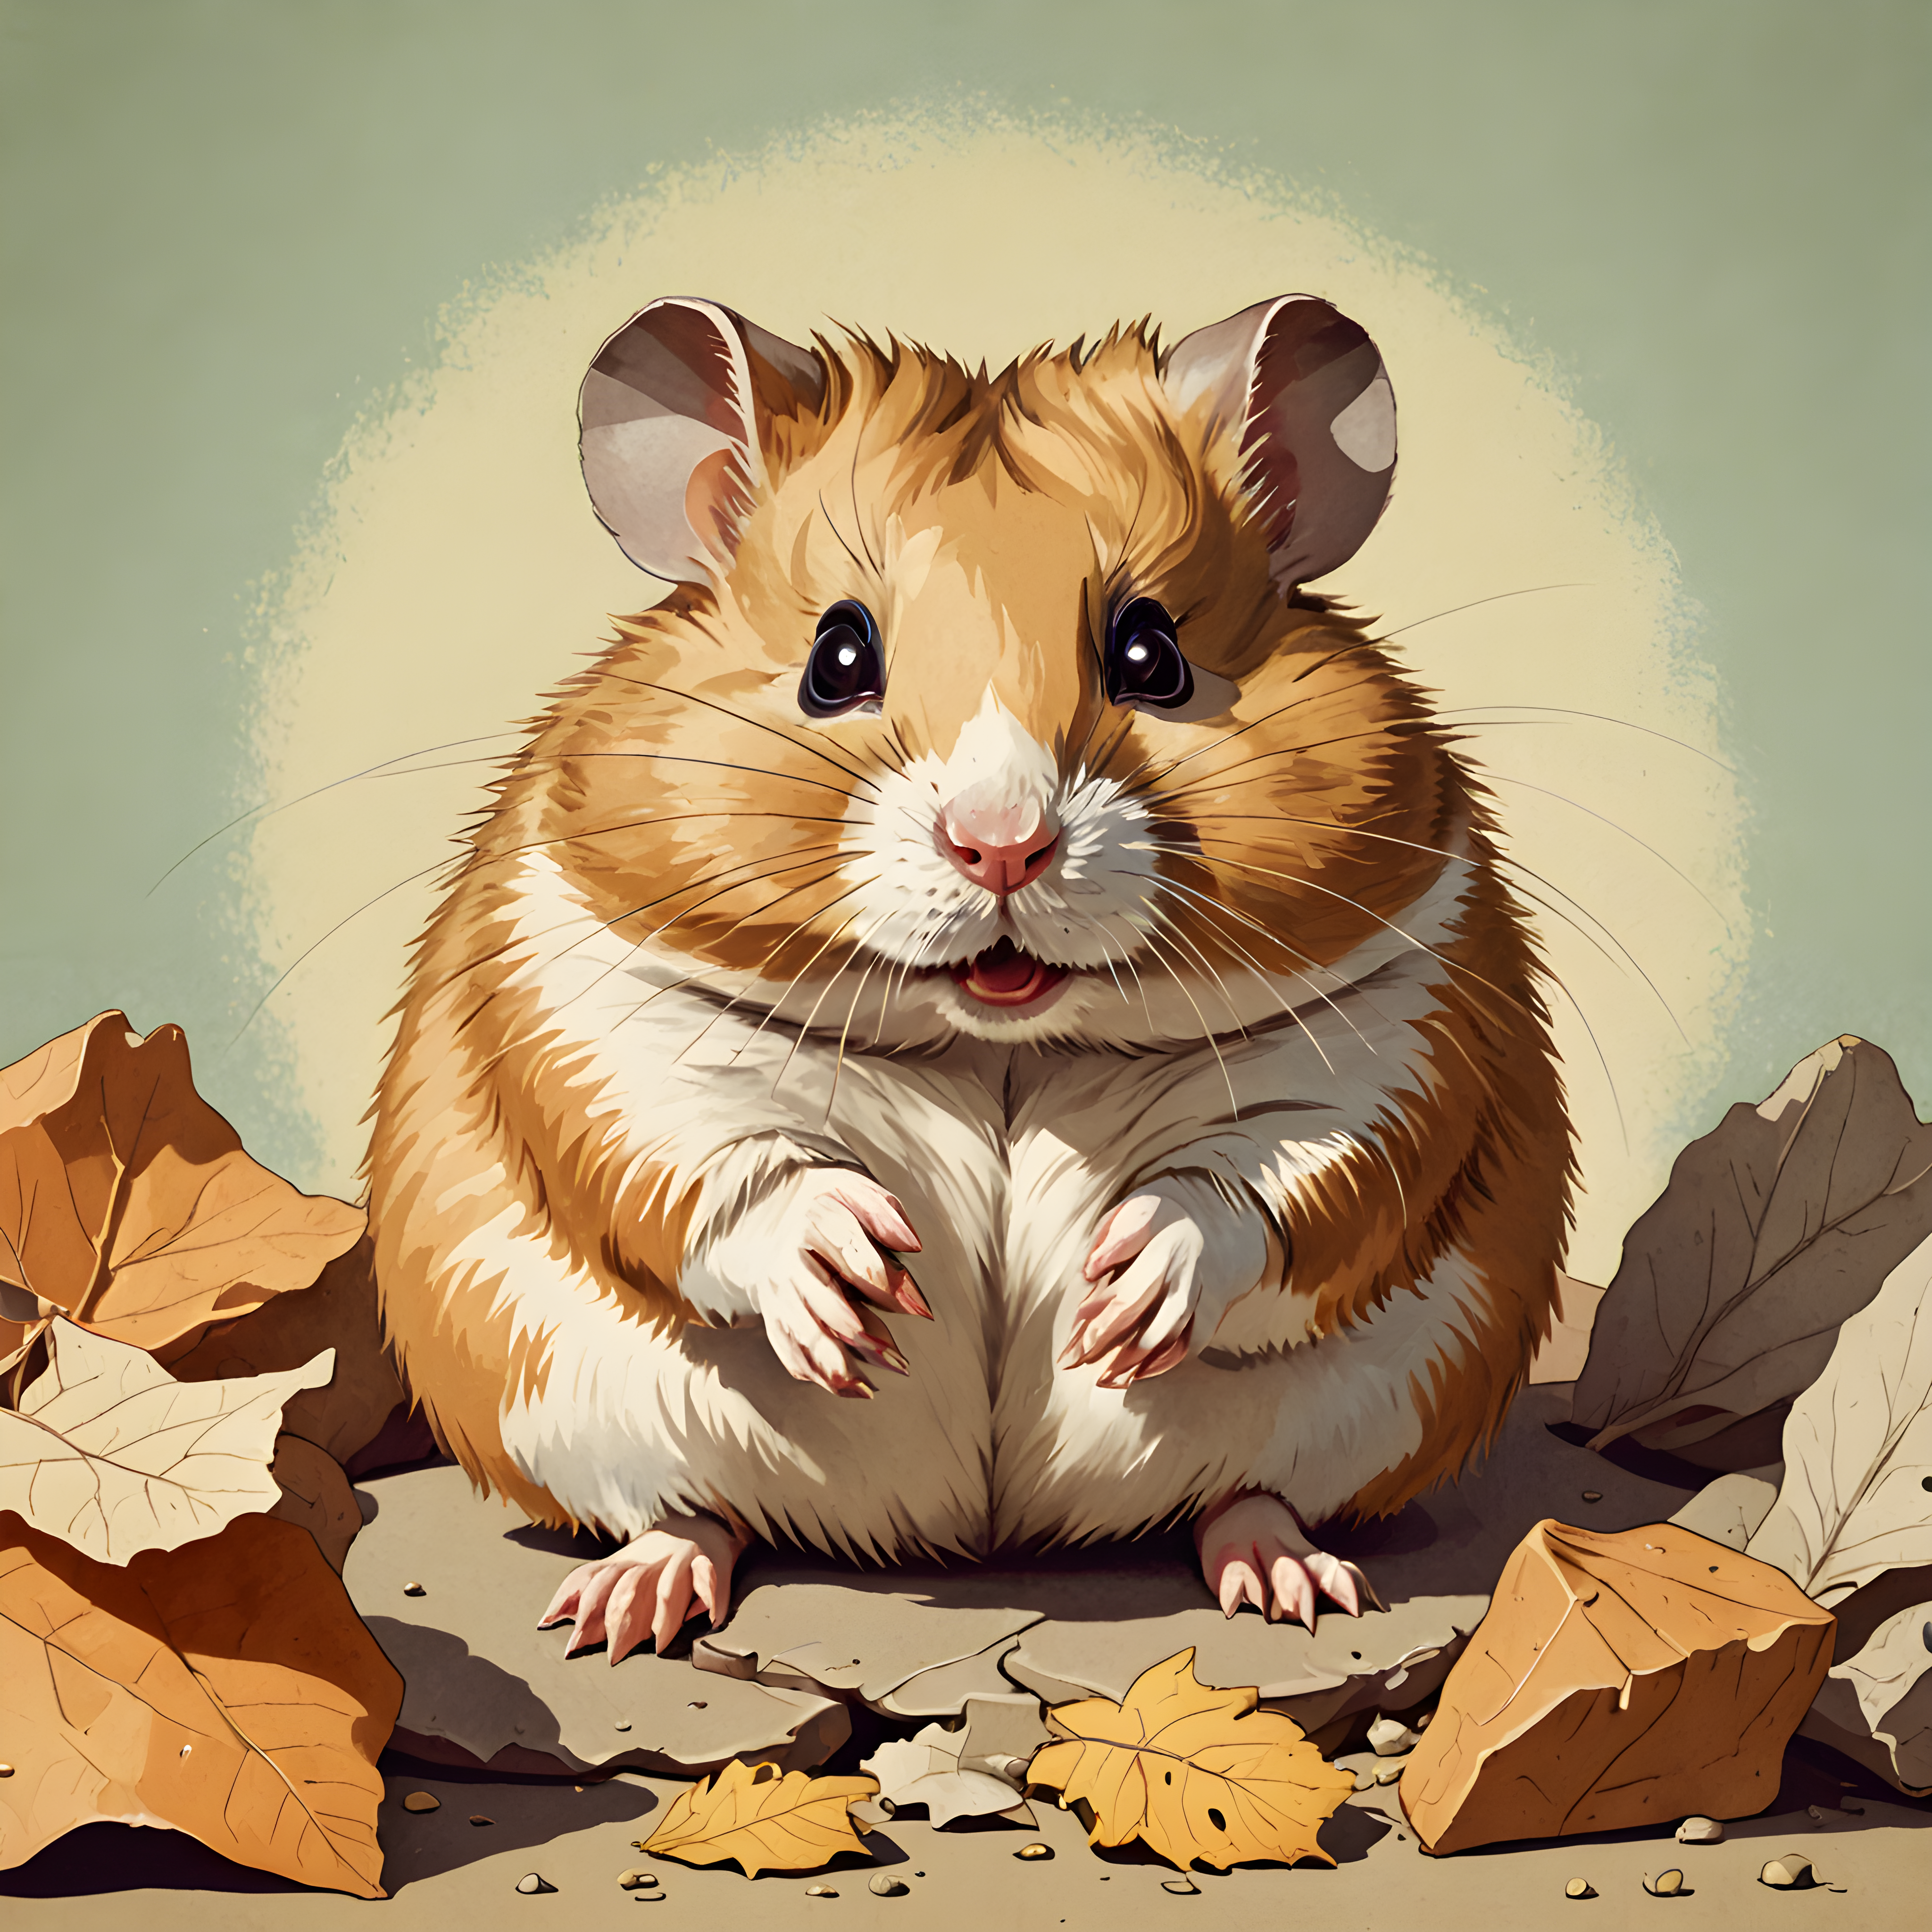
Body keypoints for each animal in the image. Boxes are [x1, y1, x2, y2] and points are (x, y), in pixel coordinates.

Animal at [366, 292, 1572, 1662]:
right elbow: (719, 1168)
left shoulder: (1400, 1036)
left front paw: (1117, 1299)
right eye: (837, 658)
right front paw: (863, 1289)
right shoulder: (594, 1023)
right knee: (691, 1509)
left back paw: (1296, 1585)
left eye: (1152, 654)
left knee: (1246, 1495)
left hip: (1376, 1410)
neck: (998, 1040)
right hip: (569, 1404)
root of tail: (978, 1537)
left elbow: (1273, 1184)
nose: (1003, 844)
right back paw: (623, 1610)